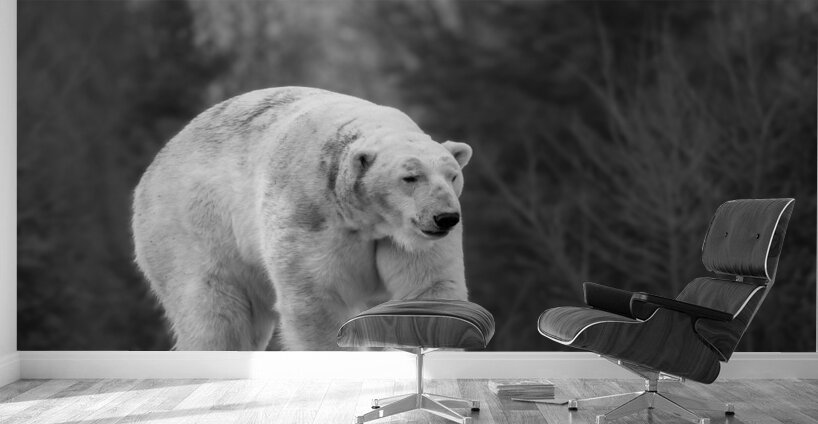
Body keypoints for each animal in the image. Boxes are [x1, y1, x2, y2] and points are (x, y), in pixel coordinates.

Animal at [132, 86, 473, 351]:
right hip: (192, 229)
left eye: (452, 176)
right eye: (410, 177)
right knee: (215, 315)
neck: (365, 218)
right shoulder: (309, 215)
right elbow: (317, 300)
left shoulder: (406, 240)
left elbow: (431, 289)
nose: (445, 217)